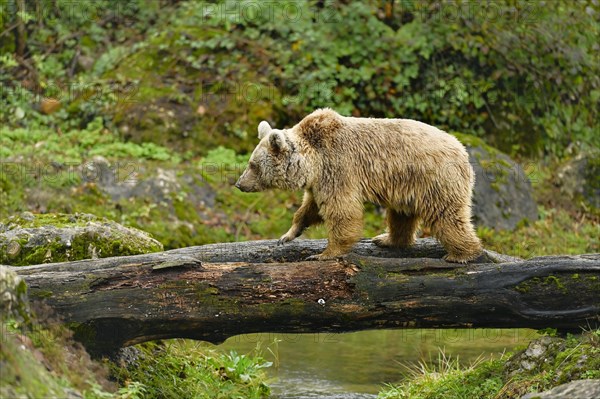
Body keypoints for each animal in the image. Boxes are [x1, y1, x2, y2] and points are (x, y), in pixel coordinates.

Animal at [234, 108, 482, 262]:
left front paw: (325, 253)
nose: (239, 184)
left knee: (447, 215)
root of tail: (463, 151)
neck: (311, 162)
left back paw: (462, 254)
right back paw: (387, 239)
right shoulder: (320, 180)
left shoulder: (338, 167)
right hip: (407, 184)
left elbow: (341, 210)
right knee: (401, 214)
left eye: (253, 165)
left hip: (436, 179)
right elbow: (310, 208)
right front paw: (288, 234)